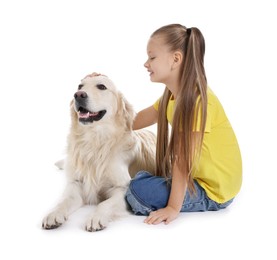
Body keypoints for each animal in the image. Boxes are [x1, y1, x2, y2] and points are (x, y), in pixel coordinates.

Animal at [42, 75, 156, 232]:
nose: (78, 95)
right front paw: (53, 214)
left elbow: (104, 203)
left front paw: (95, 217)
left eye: (102, 87)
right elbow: (63, 200)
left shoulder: (122, 188)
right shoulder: (76, 183)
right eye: (80, 86)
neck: (95, 140)